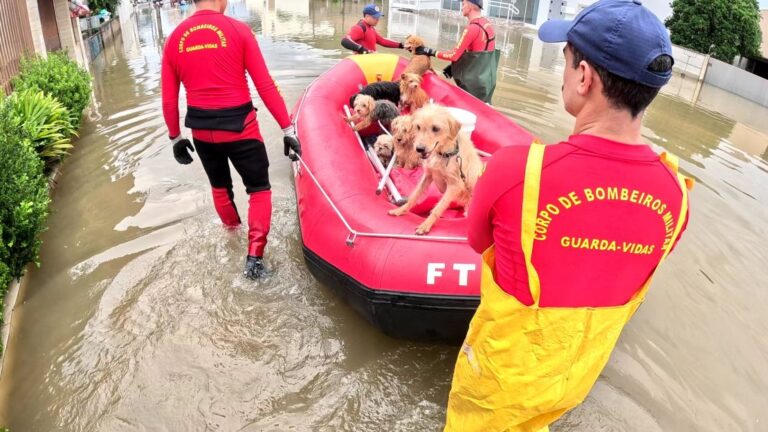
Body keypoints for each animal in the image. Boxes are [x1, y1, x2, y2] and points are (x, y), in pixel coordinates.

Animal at [388, 104, 484, 235]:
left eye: (436, 128)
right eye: (418, 127)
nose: (419, 149)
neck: (443, 154)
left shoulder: (454, 186)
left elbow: (438, 208)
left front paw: (425, 225)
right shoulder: (428, 176)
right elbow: (414, 196)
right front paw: (400, 210)